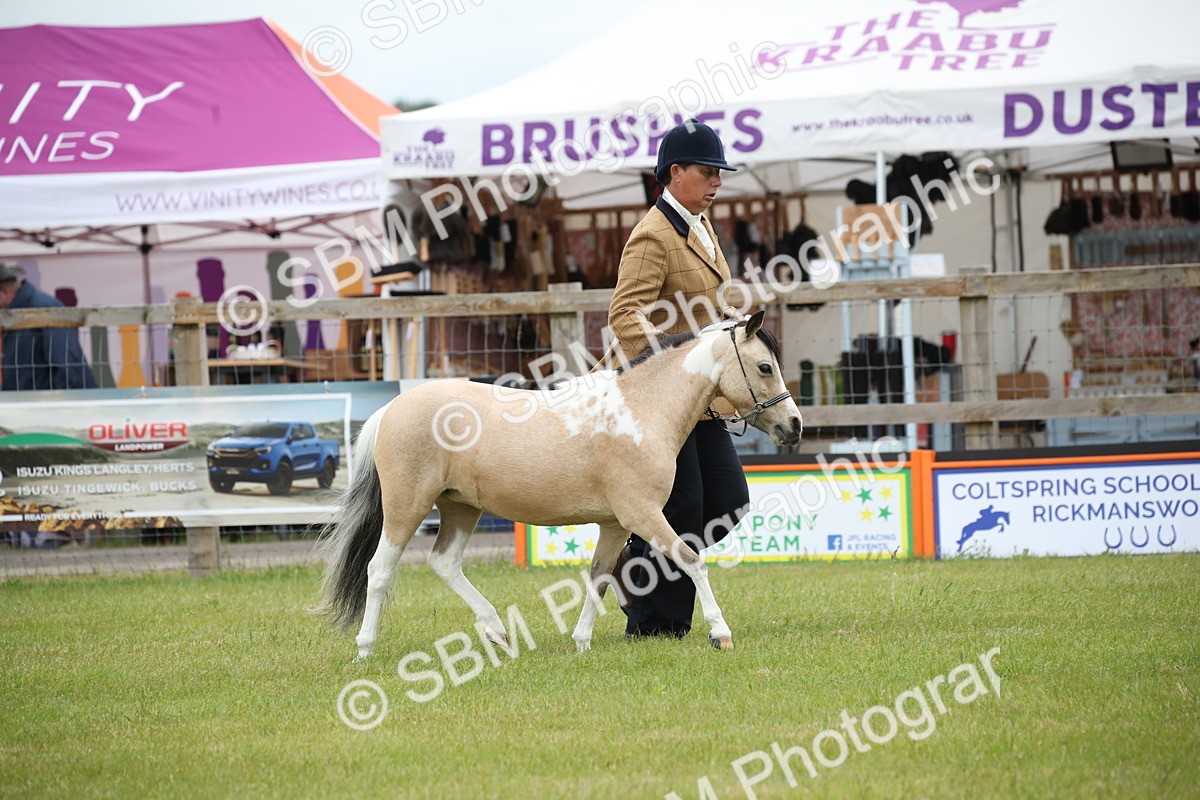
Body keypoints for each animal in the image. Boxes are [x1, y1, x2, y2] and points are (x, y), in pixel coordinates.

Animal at [315, 311, 803, 658]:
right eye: (764, 366)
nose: (794, 425)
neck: (642, 409)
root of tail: (392, 409)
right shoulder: (643, 514)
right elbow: (692, 560)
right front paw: (720, 633)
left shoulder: (616, 524)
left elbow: (600, 575)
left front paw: (582, 641)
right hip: (407, 506)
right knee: (380, 570)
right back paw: (365, 650)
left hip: (460, 507)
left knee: (445, 563)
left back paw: (497, 631)